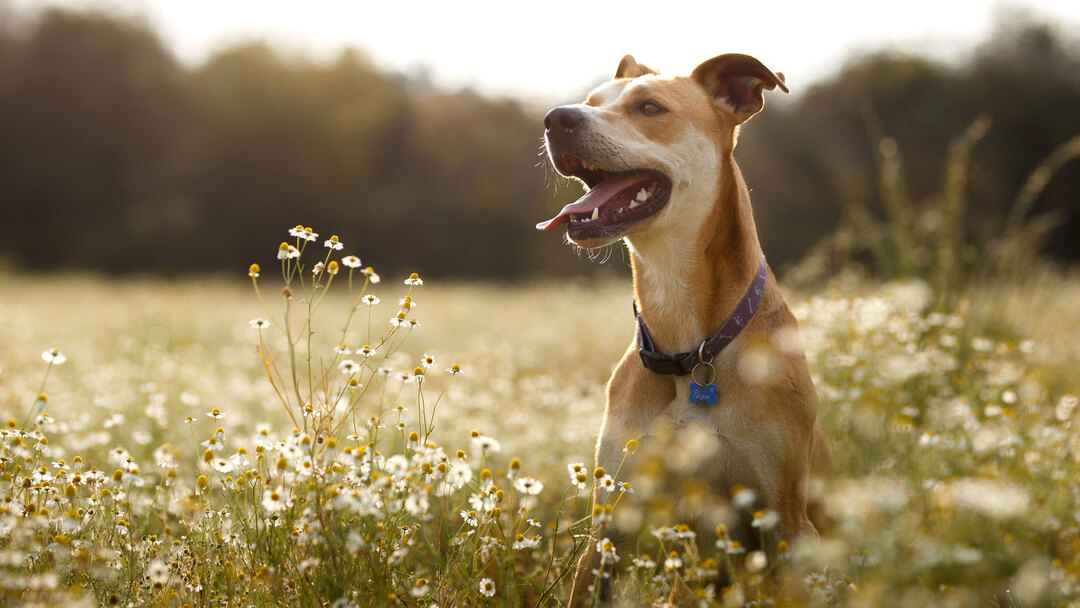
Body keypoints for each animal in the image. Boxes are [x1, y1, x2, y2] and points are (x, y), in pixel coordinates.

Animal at [540, 53, 833, 604]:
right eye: (591, 102)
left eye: (650, 107)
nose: (556, 118)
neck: (688, 348)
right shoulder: (611, 522)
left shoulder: (786, 521)